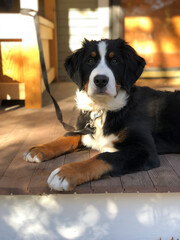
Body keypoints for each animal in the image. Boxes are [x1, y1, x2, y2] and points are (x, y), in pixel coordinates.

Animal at [24, 37, 180, 191]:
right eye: (90, 61)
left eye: (115, 61)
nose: (100, 80)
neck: (102, 108)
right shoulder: (86, 129)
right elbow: (69, 135)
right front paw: (39, 149)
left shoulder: (145, 149)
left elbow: (103, 157)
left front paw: (65, 173)